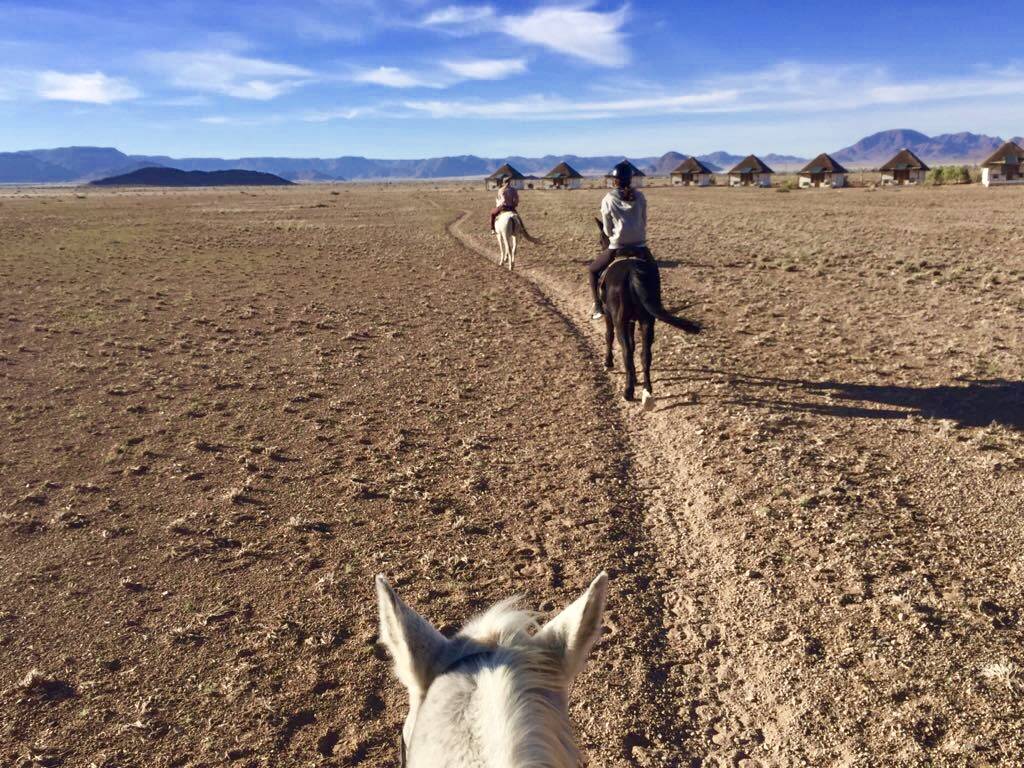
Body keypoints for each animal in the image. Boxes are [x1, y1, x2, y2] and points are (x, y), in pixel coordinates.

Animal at [598, 218, 700, 409]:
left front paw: (608, 363)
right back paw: (647, 391)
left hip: (620, 320)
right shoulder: (632, 321)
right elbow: (634, 345)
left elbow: (609, 337)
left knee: (627, 352)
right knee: (645, 354)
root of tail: (632, 272)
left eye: (601, 237)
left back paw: (628, 392)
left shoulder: (611, 317)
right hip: (647, 321)